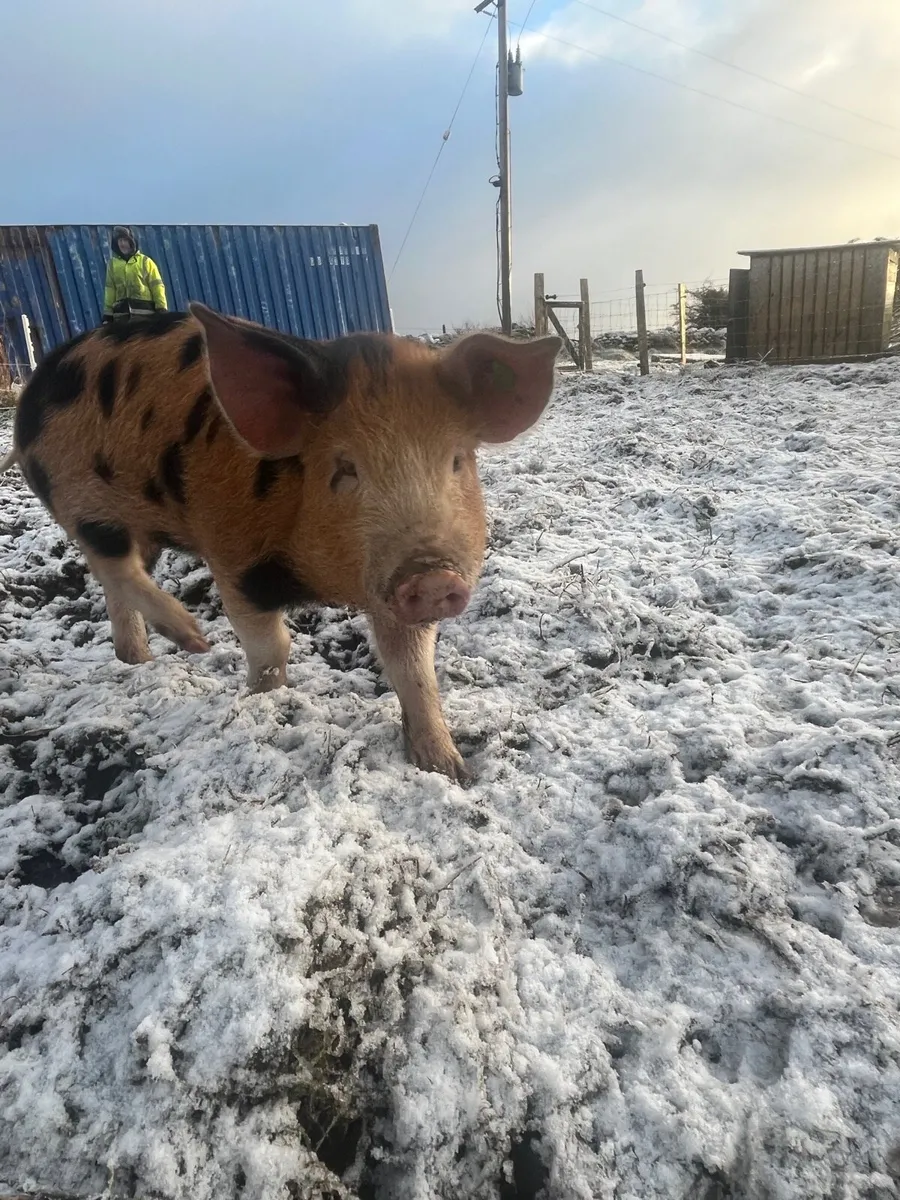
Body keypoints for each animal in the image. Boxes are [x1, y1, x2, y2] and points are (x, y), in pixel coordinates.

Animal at [0, 305, 561, 780]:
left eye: (457, 461)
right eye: (344, 469)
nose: (432, 574)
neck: (327, 583)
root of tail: (32, 392)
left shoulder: (391, 592)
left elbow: (414, 670)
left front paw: (449, 770)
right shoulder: (234, 559)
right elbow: (272, 646)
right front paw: (260, 700)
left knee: (115, 583)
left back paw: (137, 660)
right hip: (79, 497)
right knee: (109, 563)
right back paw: (192, 640)